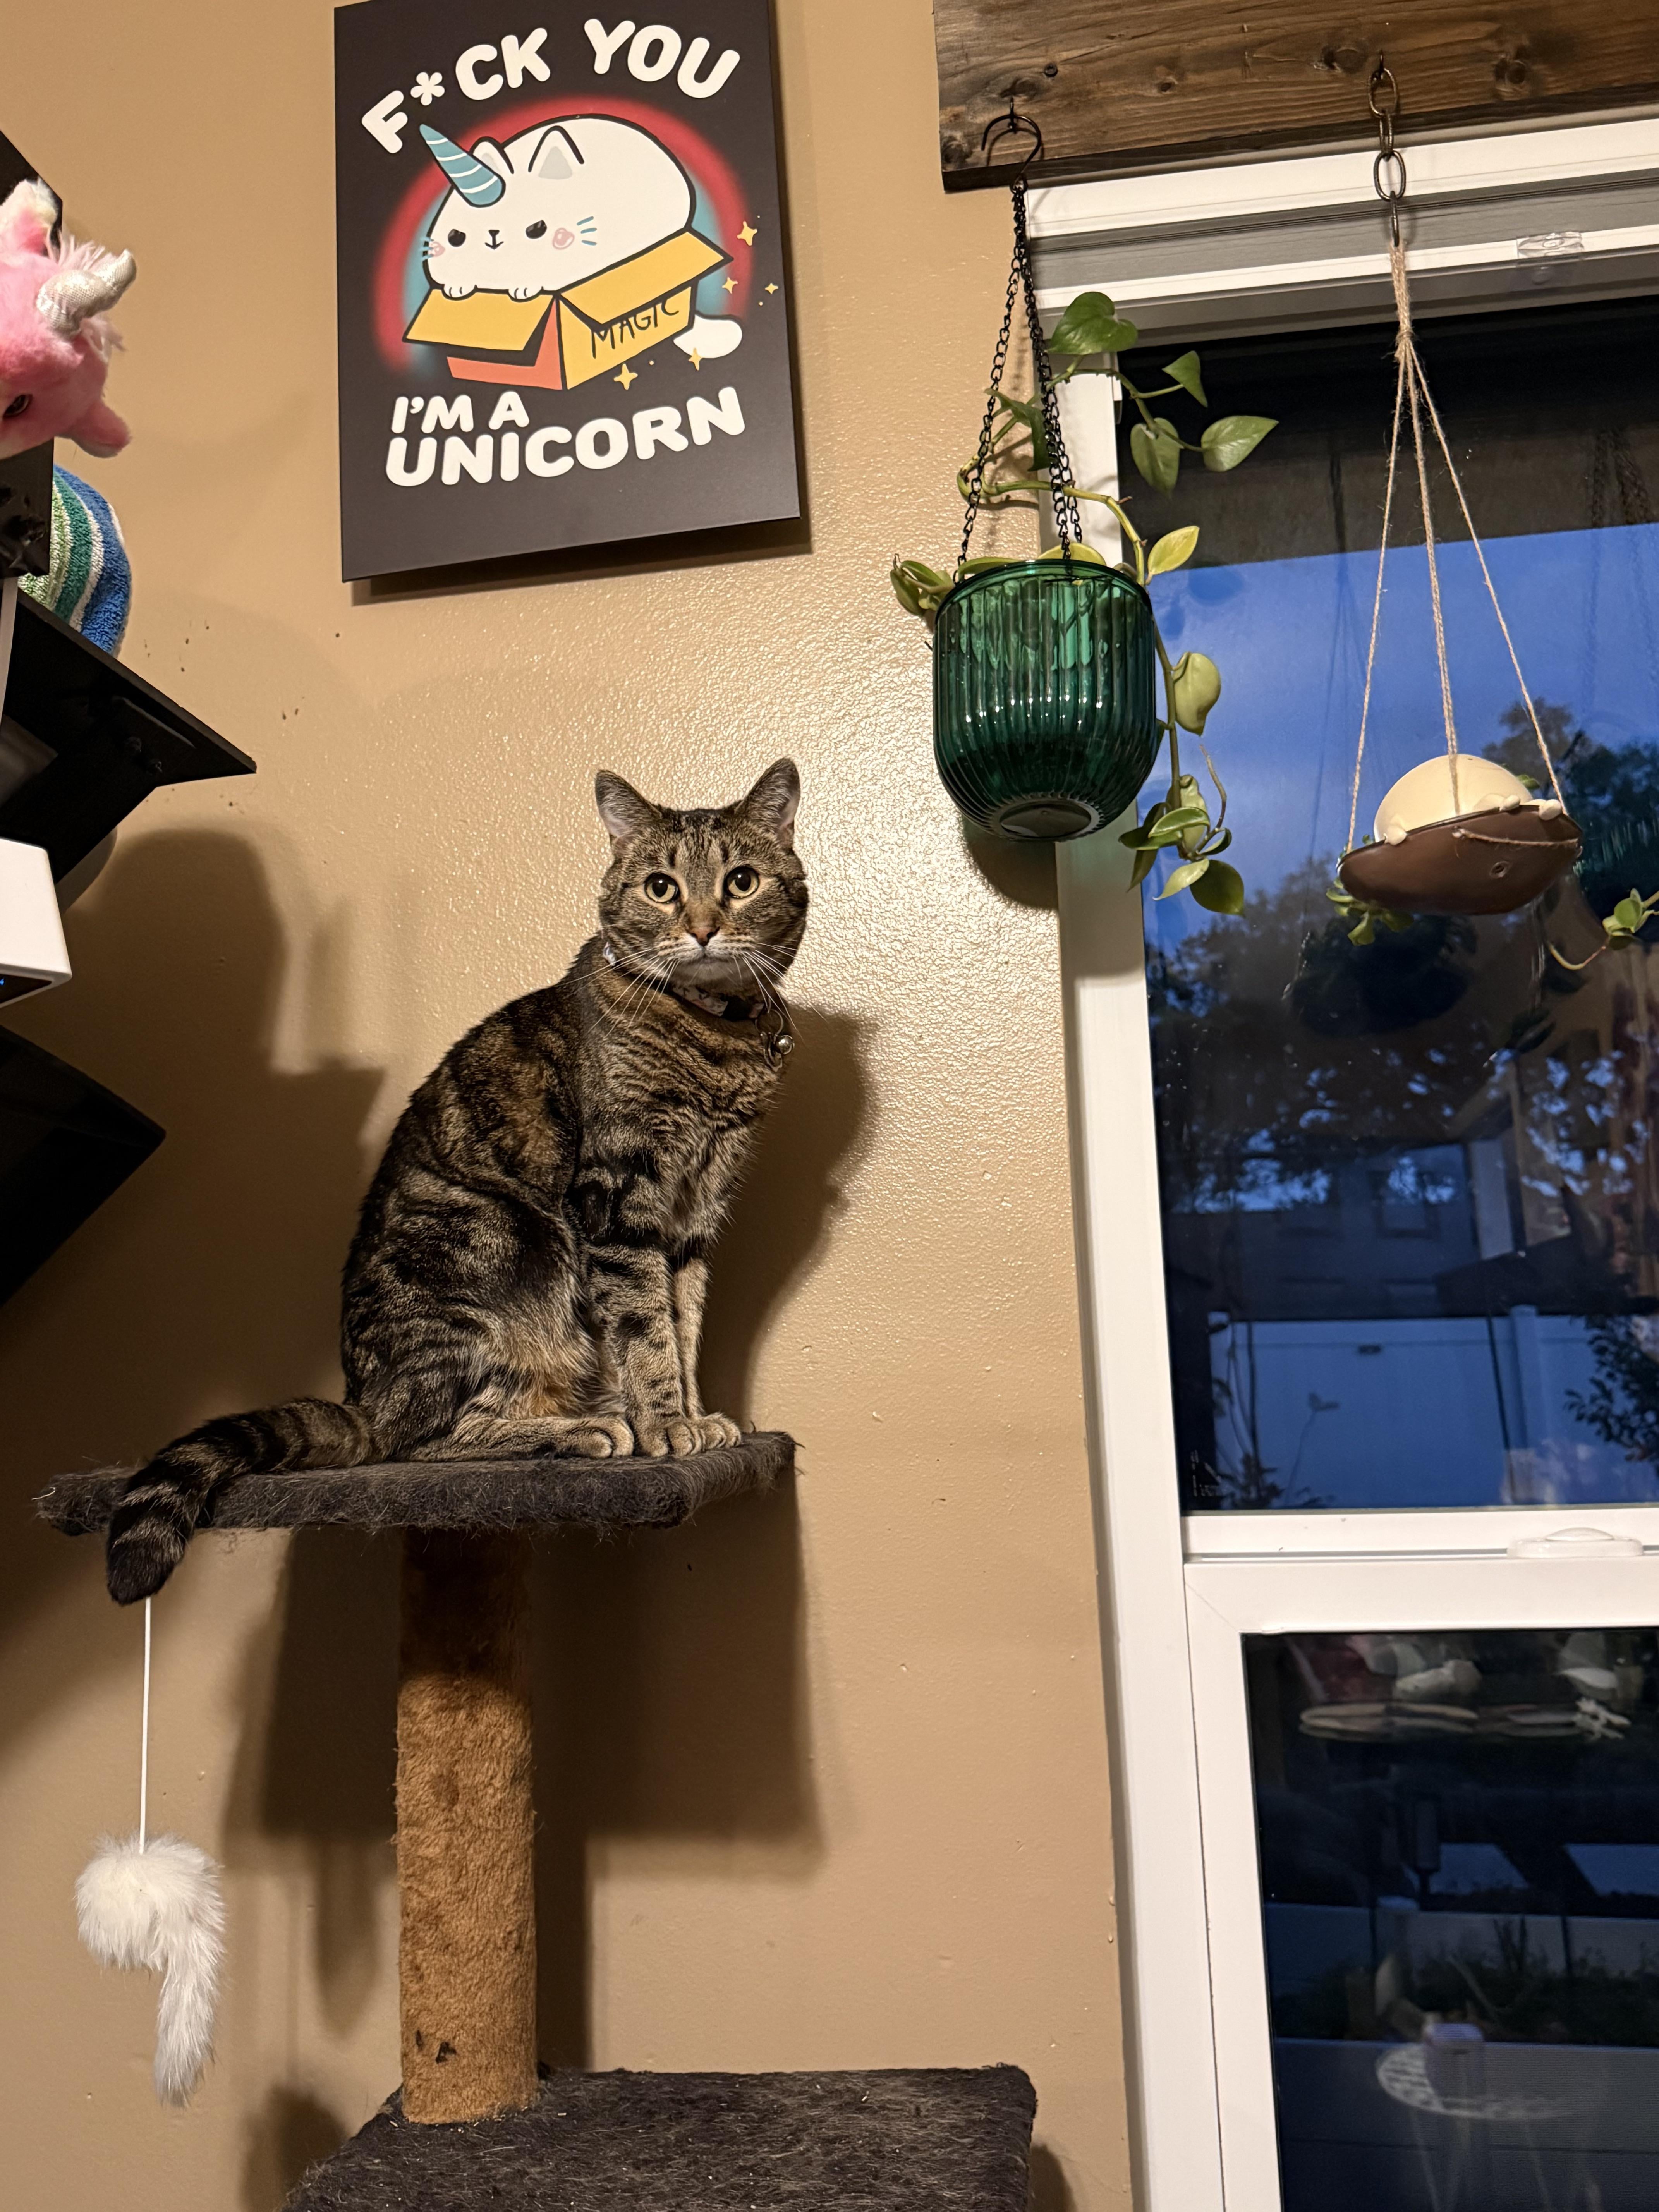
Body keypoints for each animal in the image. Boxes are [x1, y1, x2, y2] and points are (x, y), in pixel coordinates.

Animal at [104, 759, 807, 1606]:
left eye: (740, 882)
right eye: (661, 888)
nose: (702, 926)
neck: (714, 1040)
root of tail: (363, 1399)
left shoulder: (695, 1217)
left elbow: (685, 1324)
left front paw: (700, 1420)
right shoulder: (618, 1202)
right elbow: (645, 1332)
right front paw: (666, 1426)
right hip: (504, 1243)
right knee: (421, 1441)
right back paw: (584, 1429)